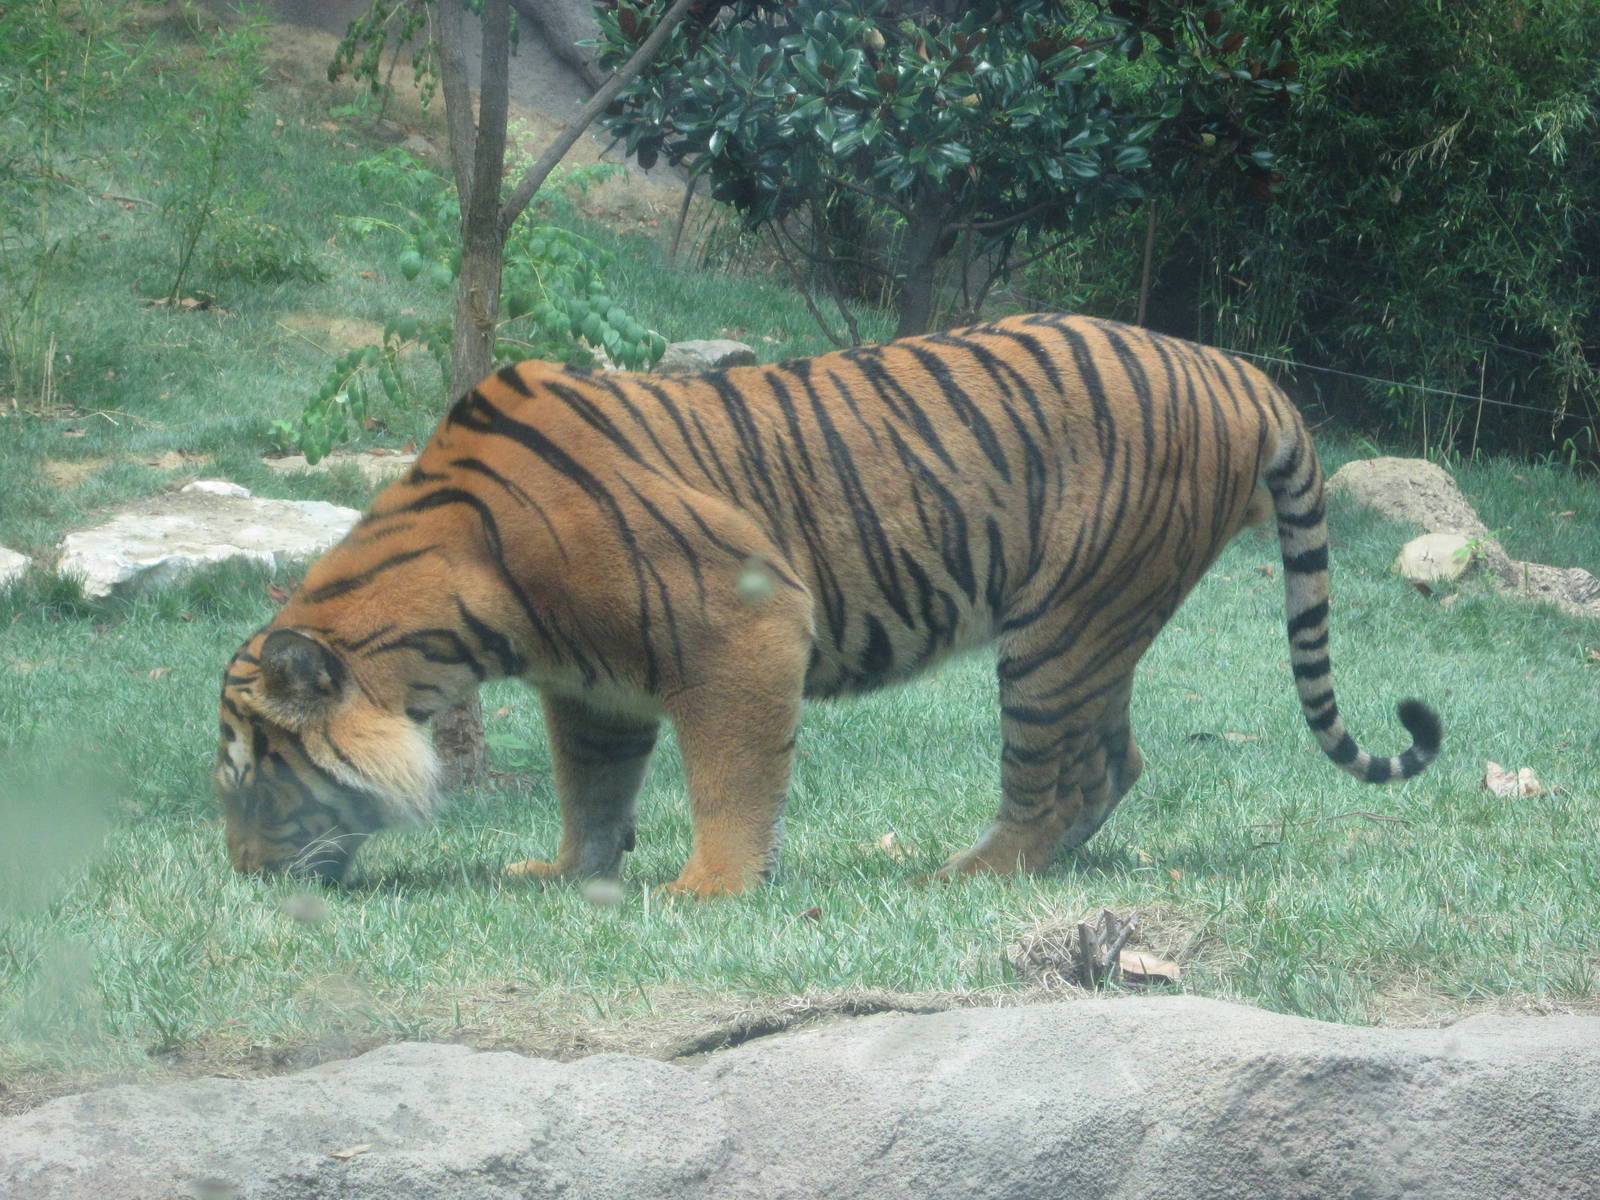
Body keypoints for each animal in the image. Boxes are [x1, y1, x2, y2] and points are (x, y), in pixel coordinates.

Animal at [215, 313, 1441, 896]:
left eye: (251, 782)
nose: (239, 879)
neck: (456, 618)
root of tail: (1245, 371)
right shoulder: (594, 685)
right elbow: (593, 789)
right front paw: (568, 873)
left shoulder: (744, 622)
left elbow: (731, 780)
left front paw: (707, 890)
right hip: (1094, 627)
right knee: (1116, 761)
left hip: (1058, 629)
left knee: (1063, 771)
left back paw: (970, 874)